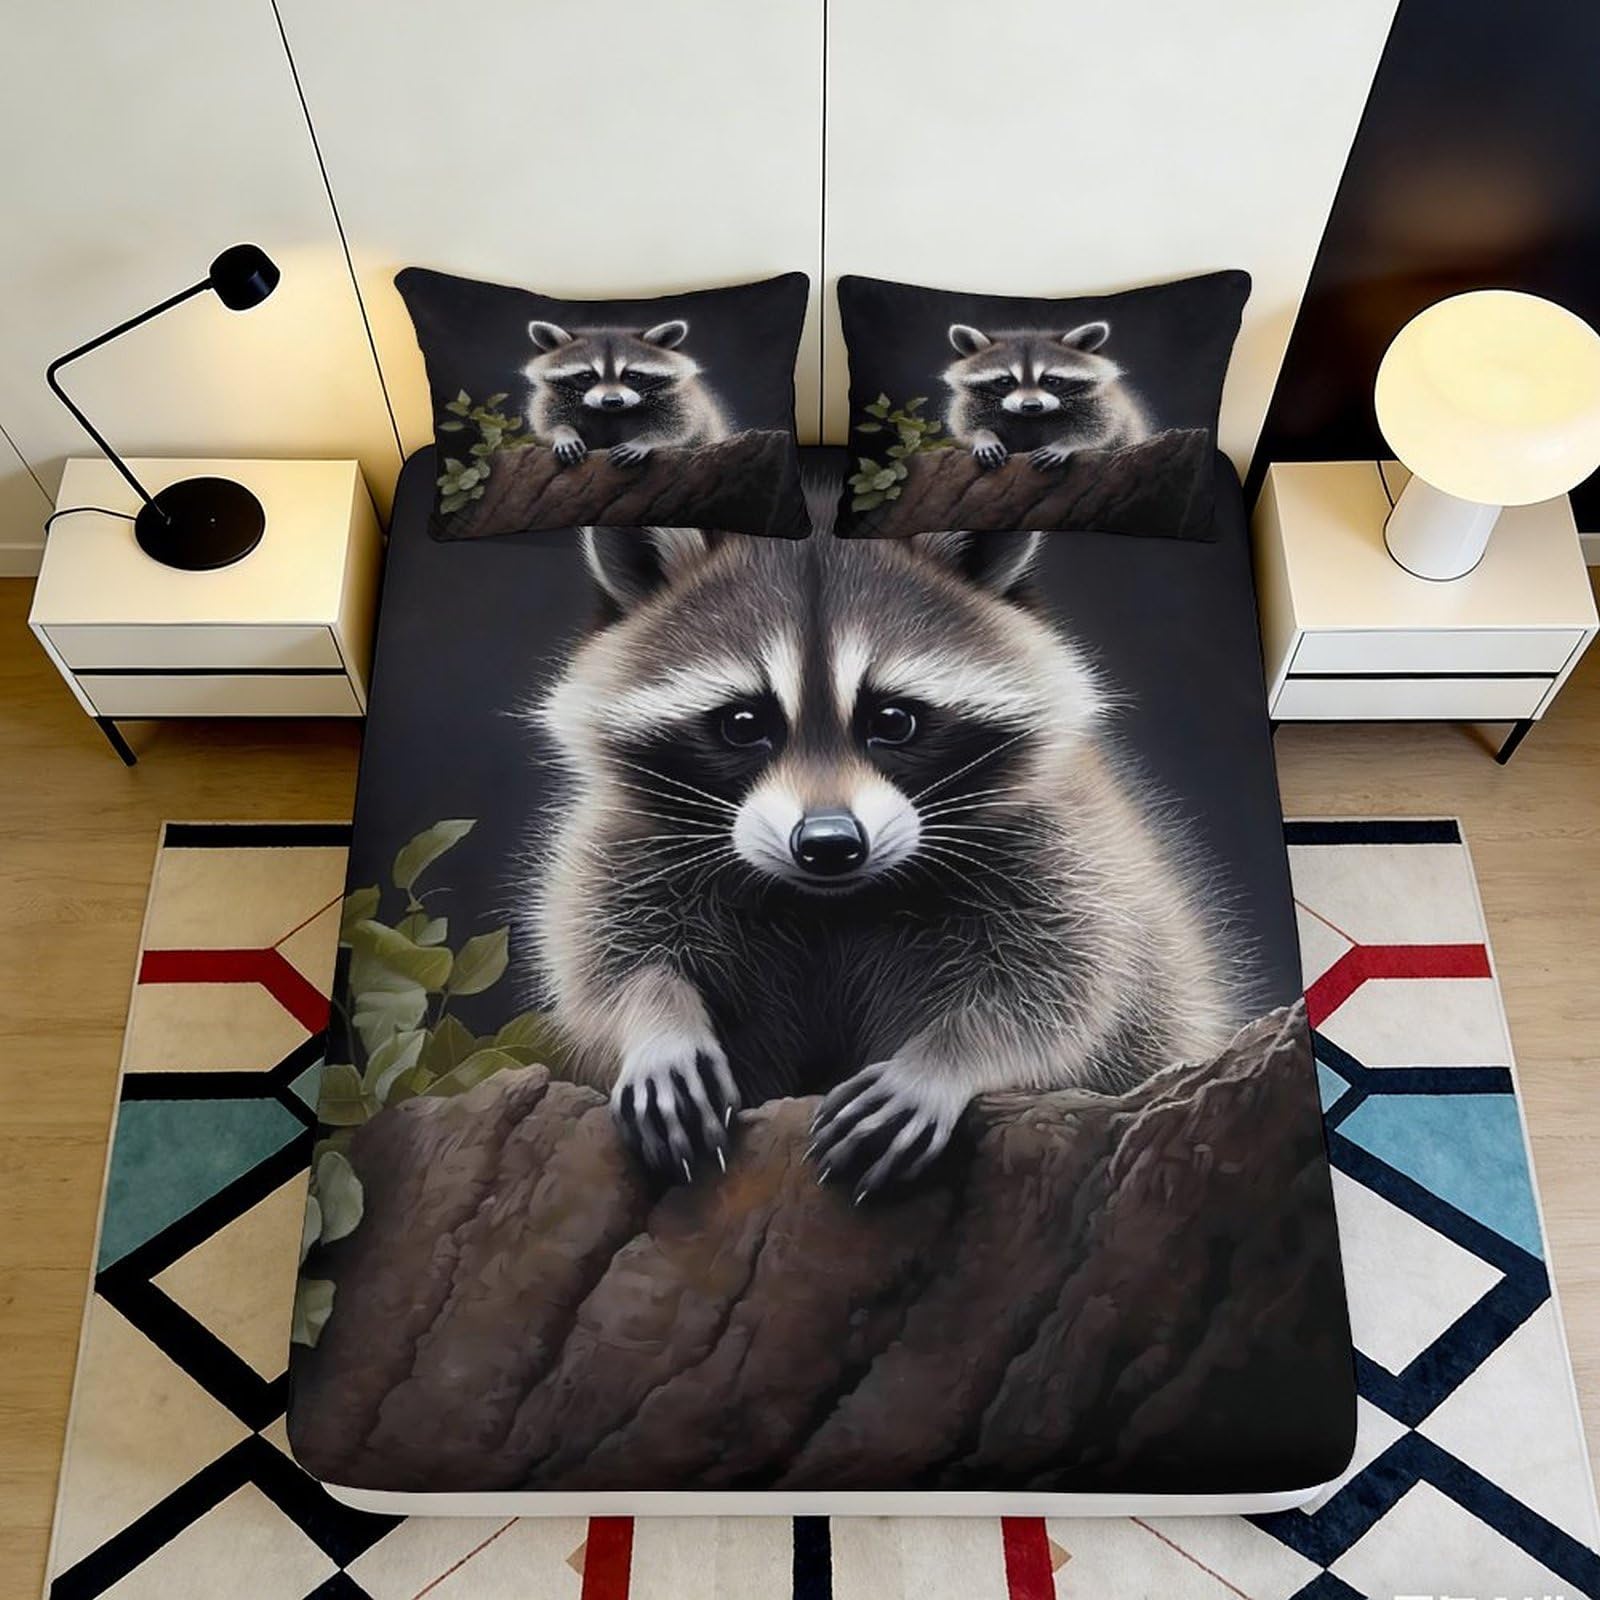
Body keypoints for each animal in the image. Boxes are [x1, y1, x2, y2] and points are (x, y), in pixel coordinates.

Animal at [523, 320, 729, 468]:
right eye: (587, 376)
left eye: (632, 376)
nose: (612, 401)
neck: (611, 414)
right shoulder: (553, 397)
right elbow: (546, 420)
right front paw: (563, 432)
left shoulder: (678, 398)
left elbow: (681, 426)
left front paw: (646, 440)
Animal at [528, 527, 1240, 1200]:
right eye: (742, 723)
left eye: (894, 720)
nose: (828, 842)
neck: (830, 902)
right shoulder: (624, 841)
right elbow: (606, 963)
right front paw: (658, 1022)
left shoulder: (1060, 847)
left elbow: (1057, 989)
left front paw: (947, 1056)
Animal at [943, 322, 1150, 471]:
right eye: (1006, 381)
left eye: (1050, 380)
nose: (1031, 405)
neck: (1030, 419)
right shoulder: (973, 402)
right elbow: (965, 423)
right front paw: (983, 436)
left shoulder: (1099, 401)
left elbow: (1103, 427)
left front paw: (1068, 443)